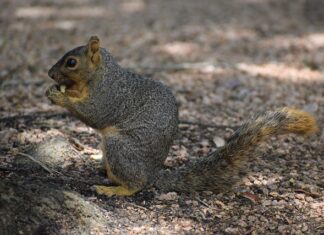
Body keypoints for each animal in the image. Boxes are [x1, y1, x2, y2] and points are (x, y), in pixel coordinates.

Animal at [46, 36, 318, 196]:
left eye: (71, 62)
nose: (49, 74)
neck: (100, 74)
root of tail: (154, 174)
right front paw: (56, 91)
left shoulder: (110, 95)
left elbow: (95, 114)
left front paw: (60, 97)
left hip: (119, 146)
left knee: (137, 184)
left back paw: (116, 190)